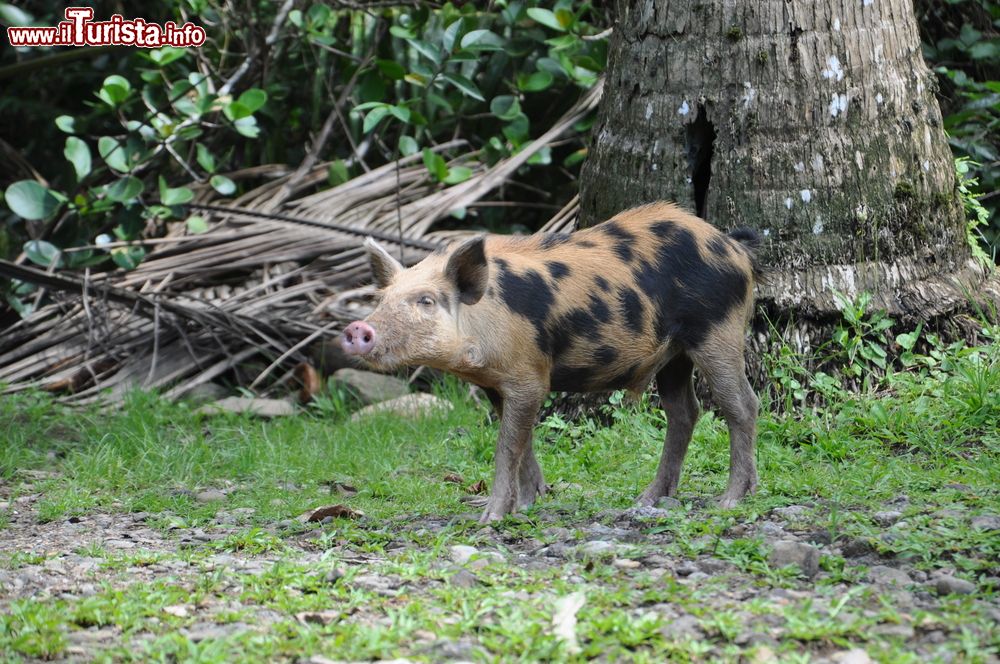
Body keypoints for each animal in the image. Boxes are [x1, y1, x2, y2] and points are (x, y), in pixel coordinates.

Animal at [340, 202, 760, 524]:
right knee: (684, 412)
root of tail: (731, 245)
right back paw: (644, 500)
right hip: (675, 355)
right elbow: (522, 443)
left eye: (426, 300)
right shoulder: (496, 384)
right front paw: (525, 505)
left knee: (741, 405)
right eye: (381, 299)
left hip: (717, 330)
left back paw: (729, 501)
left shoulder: (529, 377)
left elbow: (506, 446)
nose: (358, 327)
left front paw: (489, 518)